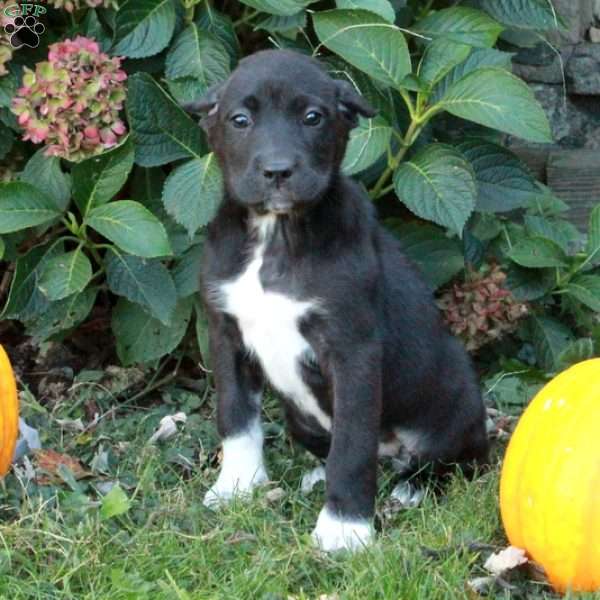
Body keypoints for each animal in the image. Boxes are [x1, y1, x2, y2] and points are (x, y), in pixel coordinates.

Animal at [186, 49, 488, 552]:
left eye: (313, 117)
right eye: (240, 120)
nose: (277, 172)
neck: (276, 236)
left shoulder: (353, 352)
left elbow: (352, 445)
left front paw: (344, 529)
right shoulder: (226, 335)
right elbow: (236, 418)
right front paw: (237, 487)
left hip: (454, 400)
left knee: (458, 459)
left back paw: (414, 487)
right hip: (300, 419)